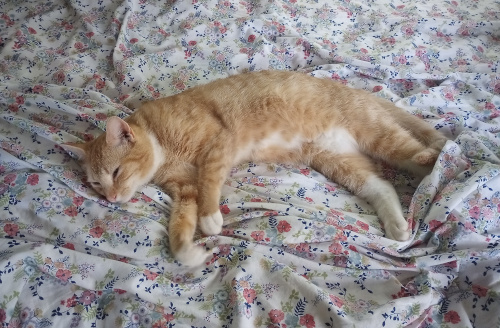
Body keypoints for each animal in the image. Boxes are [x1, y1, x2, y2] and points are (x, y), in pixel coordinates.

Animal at [62, 69, 450, 266]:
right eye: (96, 185)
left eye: (115, 173)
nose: (111, 199)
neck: (162, 143)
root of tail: (355, 92)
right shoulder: (184, 190)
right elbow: (179, 226)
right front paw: (189, 252)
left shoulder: (218, 142)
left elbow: (209, 180)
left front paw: (211, 218)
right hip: (339, 161)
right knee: (382, 186)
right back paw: (399, 225)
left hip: (380, 136)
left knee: (427, 154)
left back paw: (441, 157)